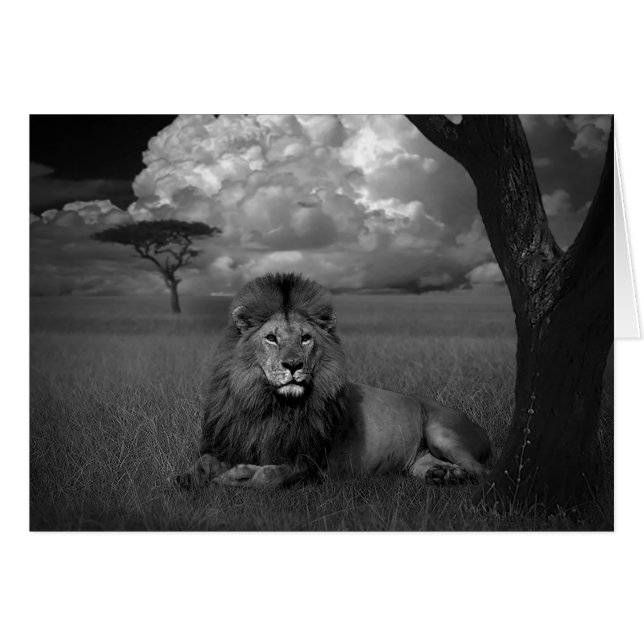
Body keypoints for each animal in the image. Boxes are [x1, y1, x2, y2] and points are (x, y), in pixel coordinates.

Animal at [175, 272, 491, 489]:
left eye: (305, 338)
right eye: (271, 338)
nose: (293, 365)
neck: (269, 405)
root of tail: (481, 428)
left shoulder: (311, 463)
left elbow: (269, 476)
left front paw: (235, 476)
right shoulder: (231, 440)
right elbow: (203, 463)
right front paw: (186, 477)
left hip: (441, 431)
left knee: (483, 472)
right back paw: (444, 474)